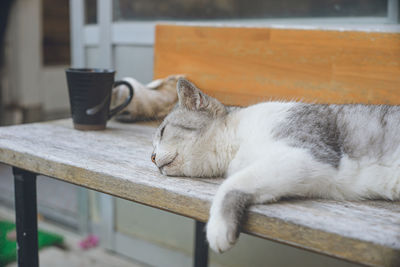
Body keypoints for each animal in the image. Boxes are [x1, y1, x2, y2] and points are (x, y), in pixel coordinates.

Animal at [151, 78, 400, 254]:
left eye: (162, 131)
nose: (152, 157)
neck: (237, 142)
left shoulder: (308, 154)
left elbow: (228, 185)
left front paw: (218, 228)